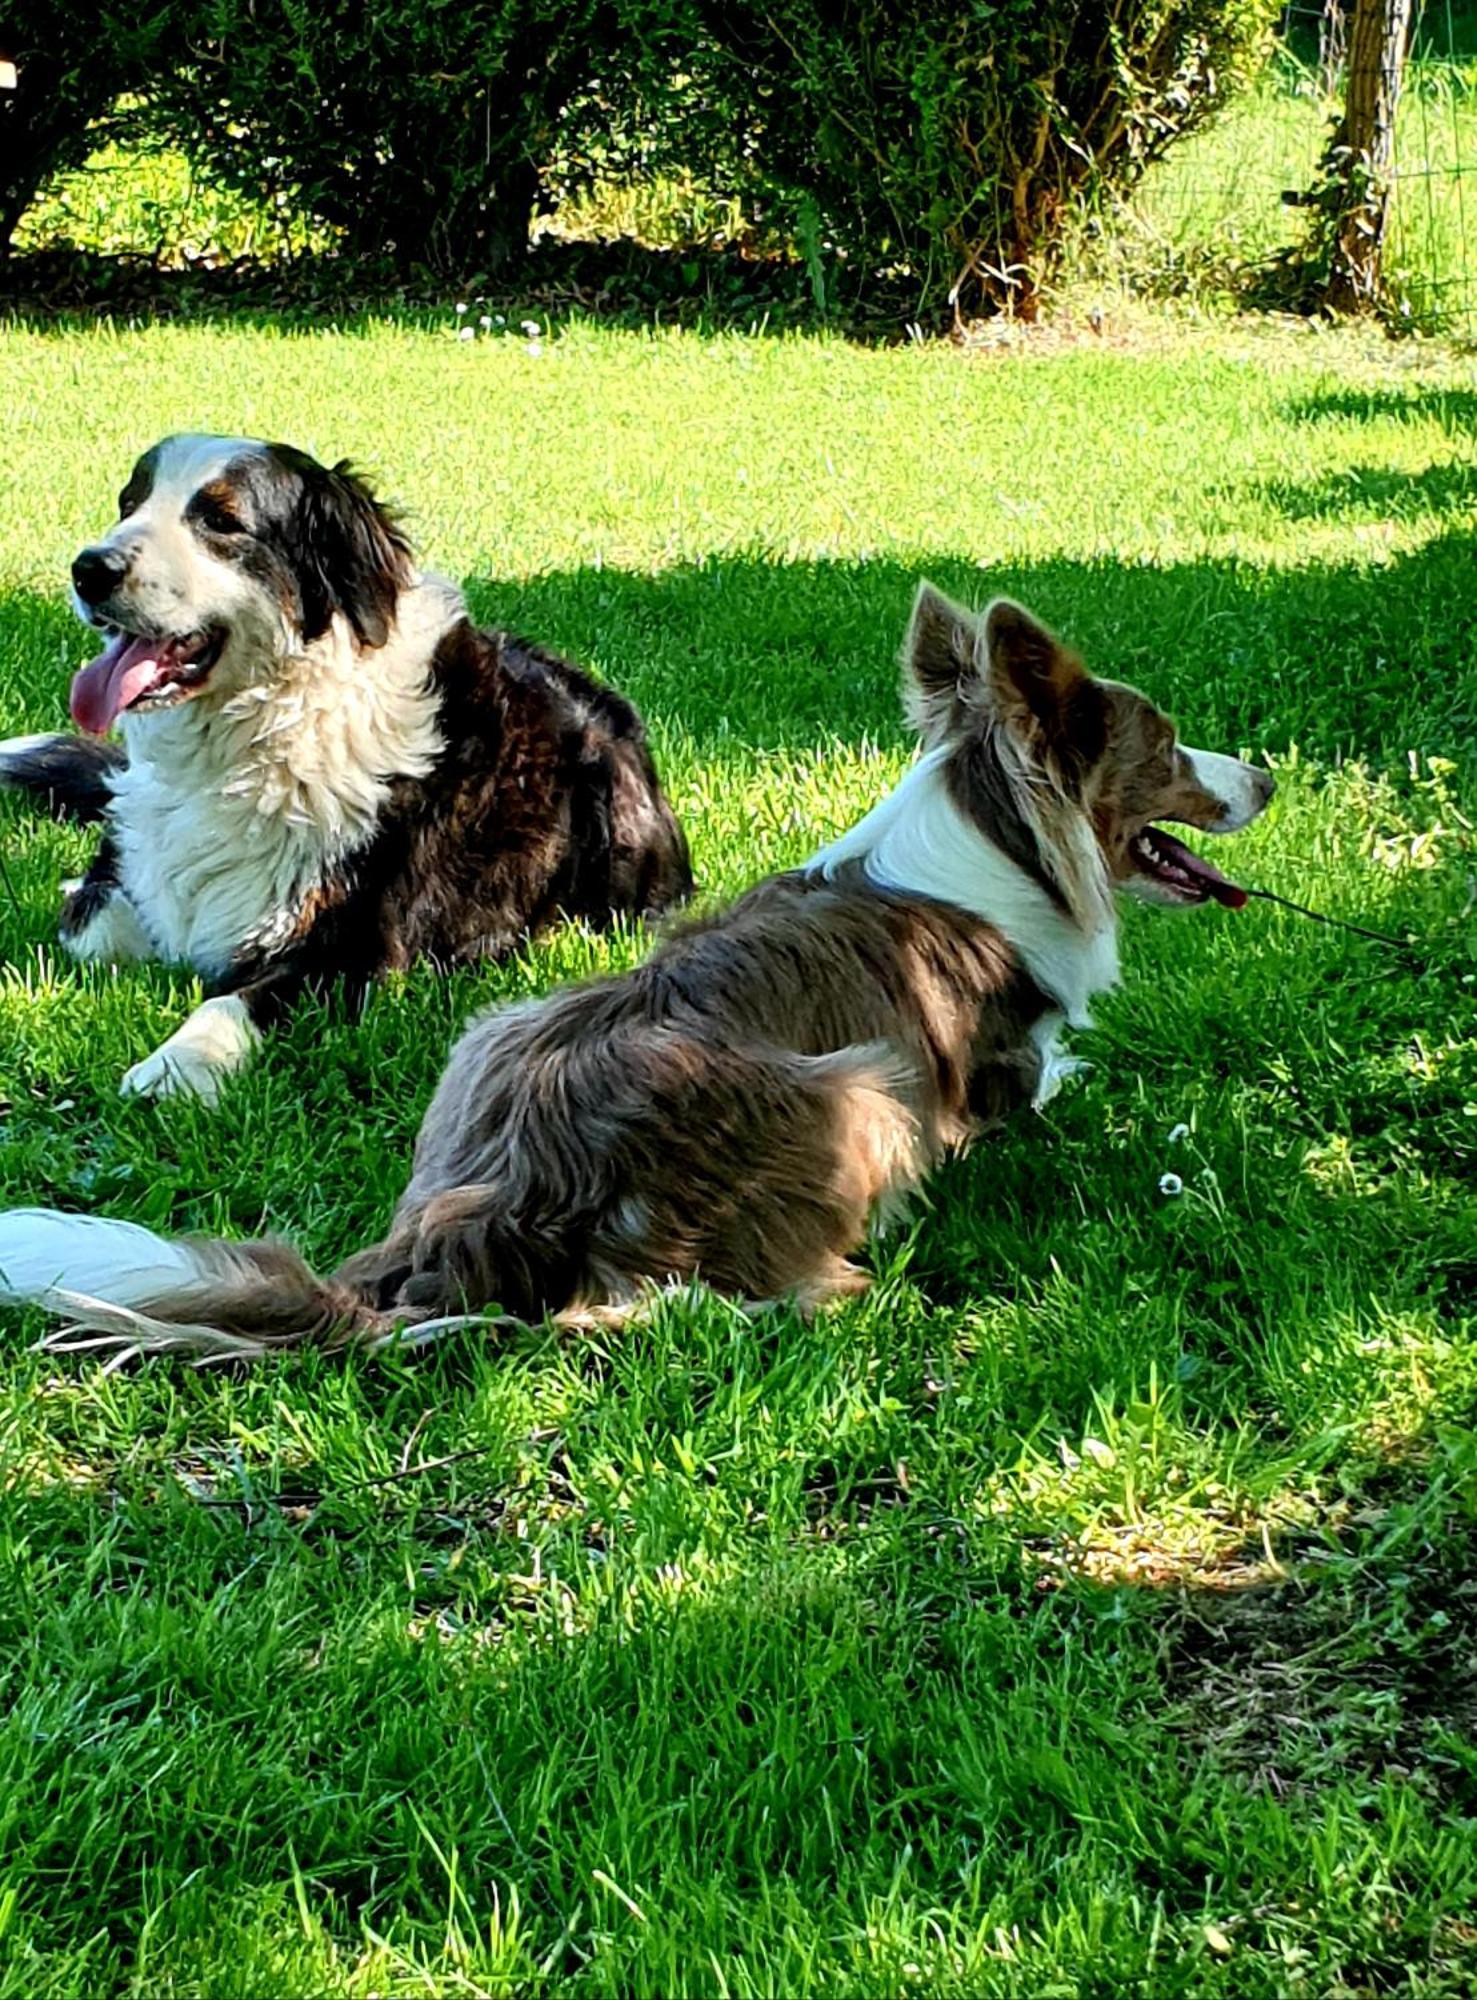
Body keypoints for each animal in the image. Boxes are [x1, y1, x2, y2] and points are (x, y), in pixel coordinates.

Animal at [0, 432, 688, 1112]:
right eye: (129, 504)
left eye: (221, 521)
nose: (89, 569)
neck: (257, 736)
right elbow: (94, 924)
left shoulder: (356, 949)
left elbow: (234, 998)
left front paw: (179, 1064)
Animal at [0, 580, 1264, 1360]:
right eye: (1166, 747)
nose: (1261, 775)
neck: (999, 835)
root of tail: (488, 1201)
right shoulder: (996, 1072)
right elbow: (1058, 1074)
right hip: (864, 1090)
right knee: (609, 1315)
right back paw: (838, 1295)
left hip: (492, 1023)